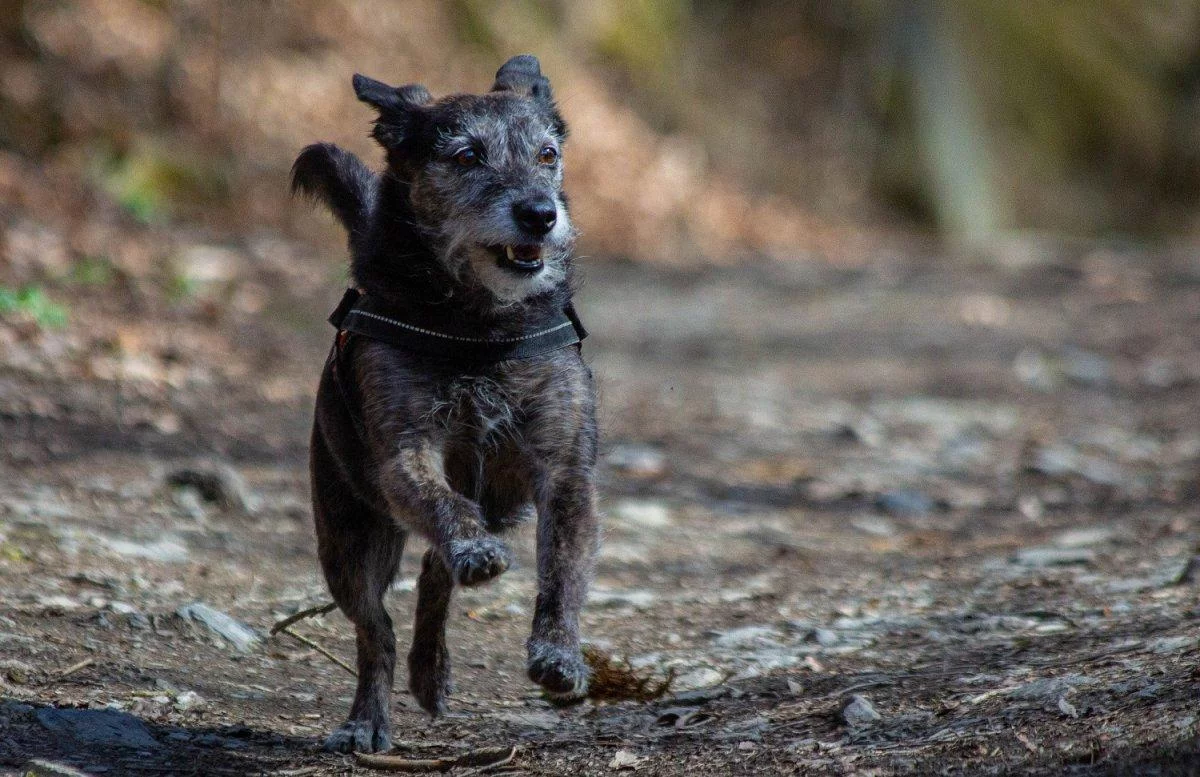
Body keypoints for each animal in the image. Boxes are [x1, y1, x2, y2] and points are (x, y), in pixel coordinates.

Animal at [290, 56, 600, 753]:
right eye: (466, 156)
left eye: (547, 154)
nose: (540, 214)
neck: (479, 329)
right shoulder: (406, 453)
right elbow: (442, 504)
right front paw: (475, 551)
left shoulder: (563, 469)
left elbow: (562, 573)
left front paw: (558, 654)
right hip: (348, 537)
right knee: (375, 628)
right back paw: (368, 717)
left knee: (434, 572)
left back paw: (431, 671)